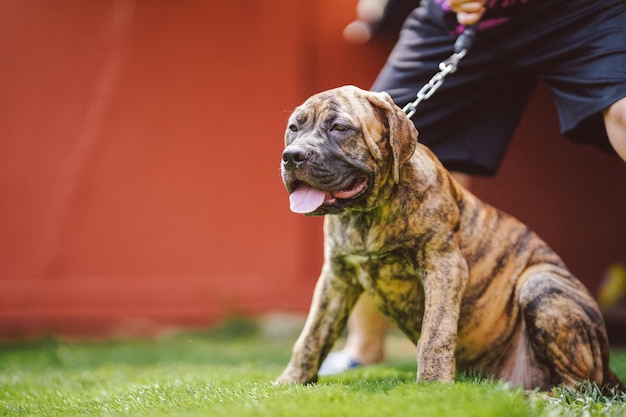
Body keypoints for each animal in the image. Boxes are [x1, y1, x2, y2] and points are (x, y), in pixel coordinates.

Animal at [276, 84, 620, 390]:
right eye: (294, 128)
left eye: (339, 127)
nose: (292, 156)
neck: (369, 215)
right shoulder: (337, 277)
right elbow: (313, 334)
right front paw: (291, 381)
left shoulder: (444, 266)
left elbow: (435, 332)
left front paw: (432, 385)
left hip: (541, 283)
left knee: (578, 384)